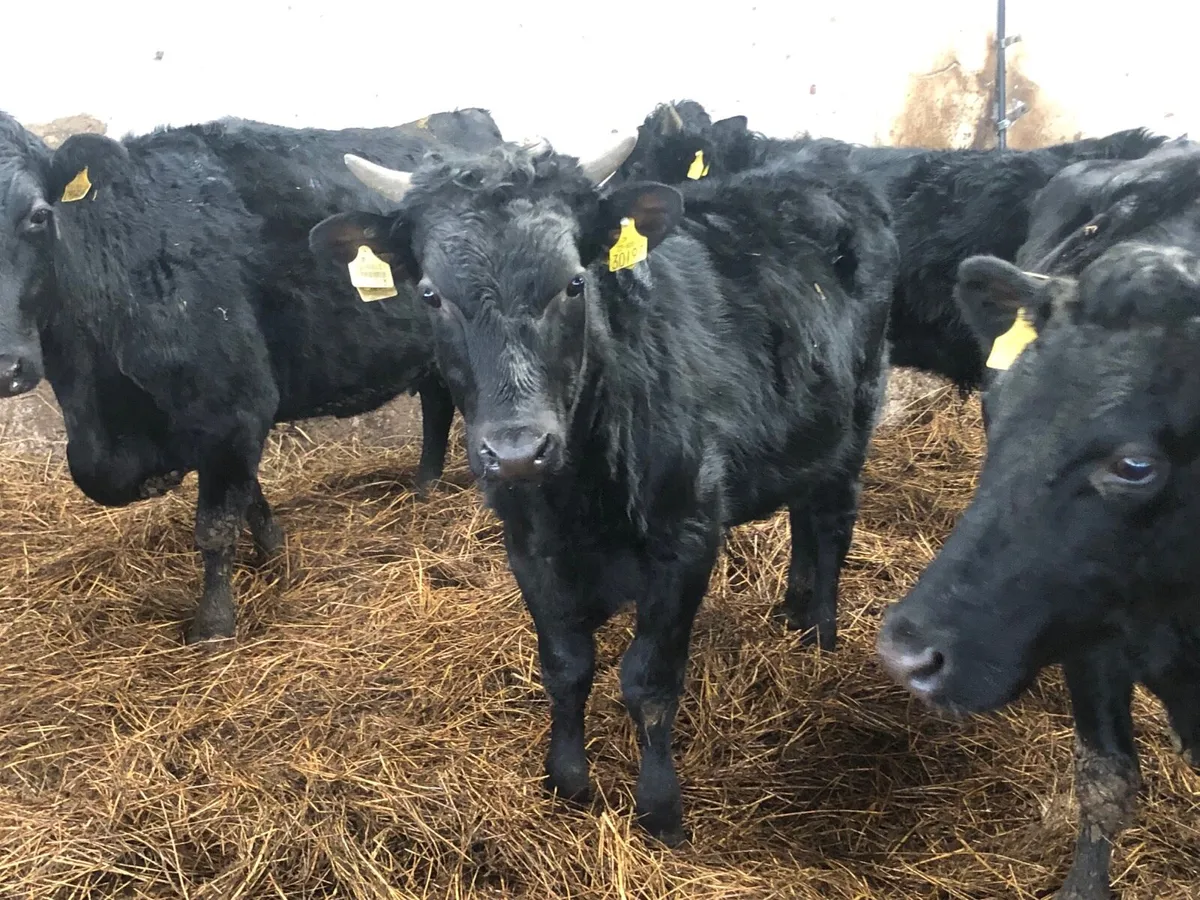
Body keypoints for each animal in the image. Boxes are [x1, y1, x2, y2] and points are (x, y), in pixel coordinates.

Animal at [0, 107, 517, 644]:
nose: (7, 366)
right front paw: (275, 550)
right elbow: (245, 495)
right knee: (437, 401)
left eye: (38, 214)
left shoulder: (233, 405)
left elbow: (215, 524)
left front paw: (214, 625)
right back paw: (424, 488)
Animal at [307, 134, 899, 844]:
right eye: (429, 295)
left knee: (833, 524)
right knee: (805, 520)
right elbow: (566, 667)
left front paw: (660, 810)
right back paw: (794, 614)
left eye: (574, 283)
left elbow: (649, 680)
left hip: (856, 421)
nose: (516, 451)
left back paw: (820, 635)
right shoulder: (528, 547)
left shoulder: (686, 535)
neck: (579, 499)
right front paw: (566, 782)